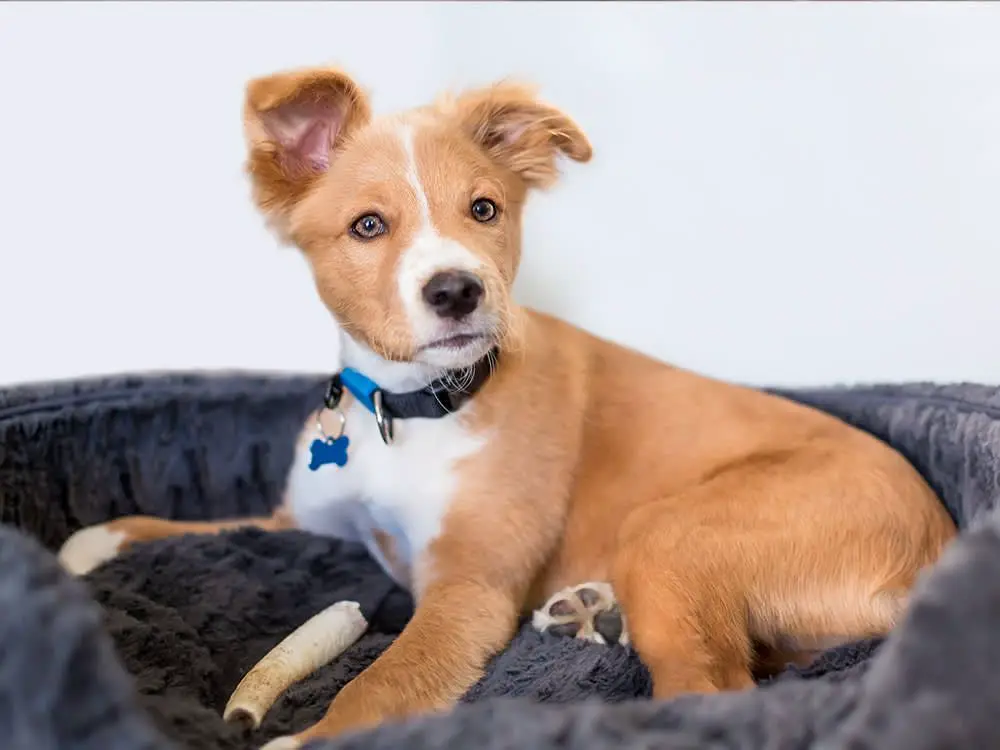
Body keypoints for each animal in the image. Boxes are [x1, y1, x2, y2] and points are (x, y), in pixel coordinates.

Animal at [56, 67, 960, 748]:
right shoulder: (304, 521)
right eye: (368, 226)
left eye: (483, 209)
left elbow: (379, 684)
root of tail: (938, 551)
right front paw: (100, 538)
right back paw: (588, 612)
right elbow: (208, 526)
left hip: (670, 531)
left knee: (718, 690)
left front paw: (304, 738)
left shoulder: (468, 589)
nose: (457, 290)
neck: (408, 411)